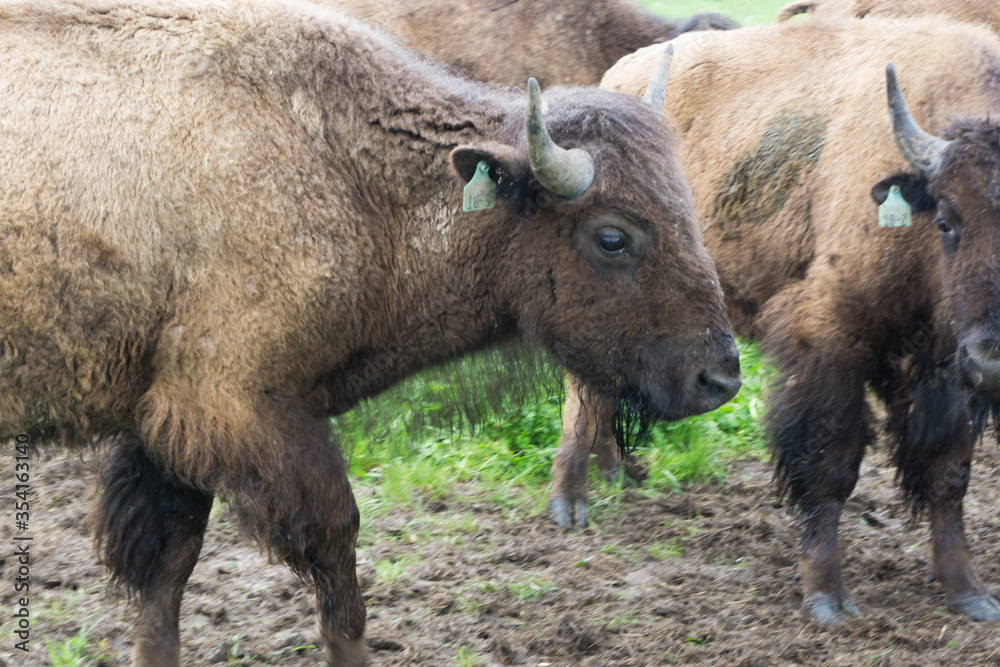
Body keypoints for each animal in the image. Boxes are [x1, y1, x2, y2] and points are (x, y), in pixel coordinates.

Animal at [0, 0, 740, 664]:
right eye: (613, 236)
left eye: (685, 204)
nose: (721, 376)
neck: (346, 169)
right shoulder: (239, 408)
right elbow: (336, 559)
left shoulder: (168, 424)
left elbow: (167, 574)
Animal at [551, 16, 1000, 625]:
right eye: (948, 220)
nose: (993, 360)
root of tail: (615, 78)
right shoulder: (830, 340)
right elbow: (831, 462)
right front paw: (827, 598)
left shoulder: (943, 366)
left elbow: (948, 470)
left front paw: (970, 593)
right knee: (582, 392)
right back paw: (570, 504)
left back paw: (616, 477)